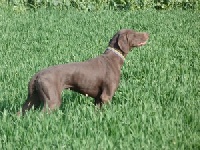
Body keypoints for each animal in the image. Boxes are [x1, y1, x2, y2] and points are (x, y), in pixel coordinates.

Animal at [18, 29, 148, 115]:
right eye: (135, 34)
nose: (147, 34)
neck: (112, 58)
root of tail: (37, 75)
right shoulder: (106, 96)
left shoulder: (98, 99)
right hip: (52, 101)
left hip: (32, 99)